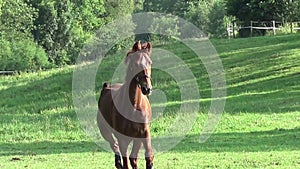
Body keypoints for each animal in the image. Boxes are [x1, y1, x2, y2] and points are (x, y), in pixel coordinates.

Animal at [98, 41, 155, 169]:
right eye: (136, 63)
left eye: (150, 62)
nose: (147, 89)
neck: (134, 106)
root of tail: (106, 88)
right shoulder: (122, 139)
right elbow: (126, 163)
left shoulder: (144, 134)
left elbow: (148, 157)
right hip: (106, 133)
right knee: (115, 147)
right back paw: (117, 161)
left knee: (132, 158)